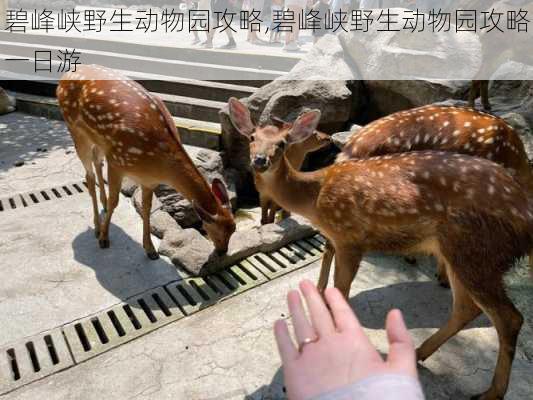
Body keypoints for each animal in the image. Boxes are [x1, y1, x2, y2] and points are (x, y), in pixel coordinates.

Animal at [56, 65, 237, 260]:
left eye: (233, 228)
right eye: (216, 230)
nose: (222, 252)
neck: (158, 164)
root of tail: (65, 76)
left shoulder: (148, 180)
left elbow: (147, 208)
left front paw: (150, 249)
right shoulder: (116, 160)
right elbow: (115, 201)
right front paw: (104, 239)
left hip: (98, 140)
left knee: (97, 162)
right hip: (74, 128)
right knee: (88, 176)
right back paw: (97, 227)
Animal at [230, 97, 532, 400]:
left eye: (282, 143)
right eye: (252, 138)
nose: (259, 161)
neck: (315, 197)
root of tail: (525, 212)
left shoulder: (350, 238)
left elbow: (341, 291)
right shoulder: (339, 239)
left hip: (477, 250)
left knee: (509, 318)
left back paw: (490, 392)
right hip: (462, 253)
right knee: (467, 308)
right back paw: (419, 353)